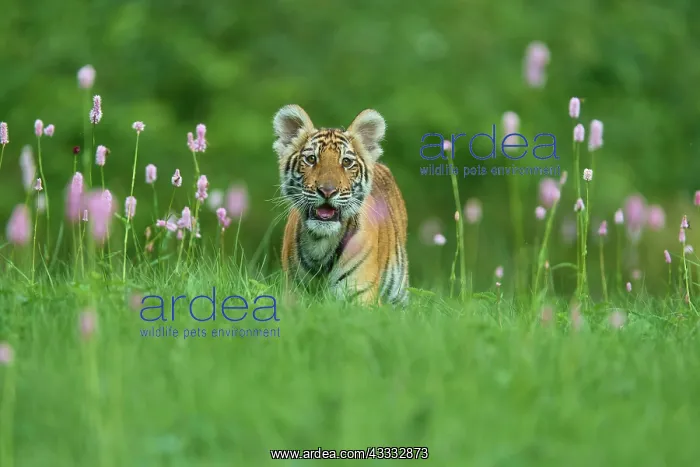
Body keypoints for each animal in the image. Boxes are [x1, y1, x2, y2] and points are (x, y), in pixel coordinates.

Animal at [272, 104, 409, 306]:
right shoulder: (292, 292)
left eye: (346, 162)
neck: (320, 243)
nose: (327, 191)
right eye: (311, 159)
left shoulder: (361, 295)